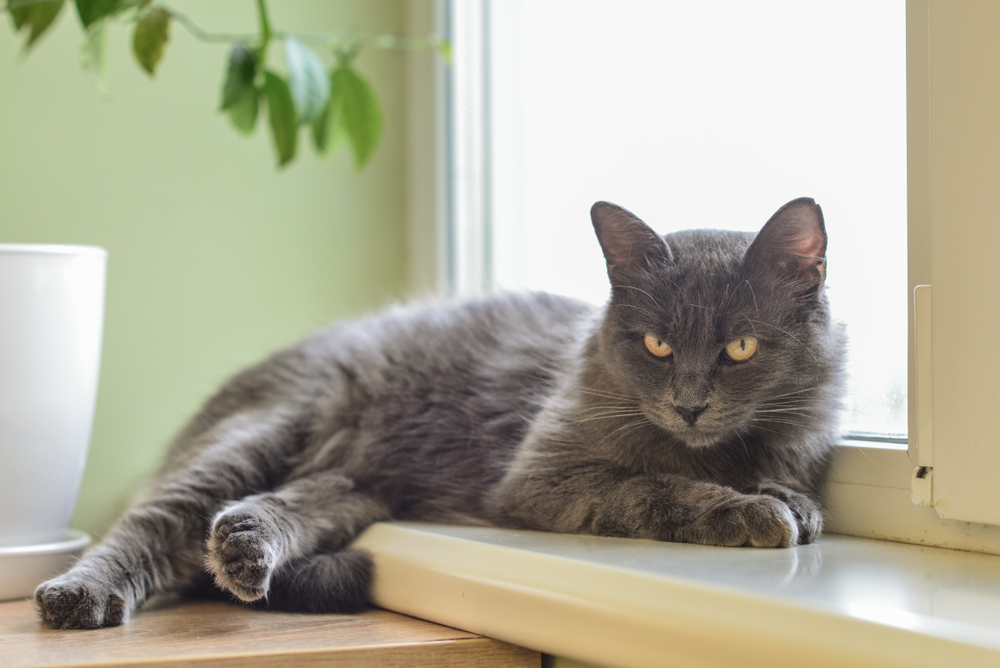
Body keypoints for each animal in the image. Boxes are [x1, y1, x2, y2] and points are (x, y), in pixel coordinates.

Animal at [33, 196, 844, 628]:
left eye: (740, 346)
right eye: (656, 344)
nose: (690, 404)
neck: (715, 450)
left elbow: (781, 485)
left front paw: (786, 500)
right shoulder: (546, 480)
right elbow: (656, 489)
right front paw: (748, 511)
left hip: (356, 486)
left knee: (277, 509)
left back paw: (244, 547)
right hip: (264, 430)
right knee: (153, 519)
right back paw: (79, 595)